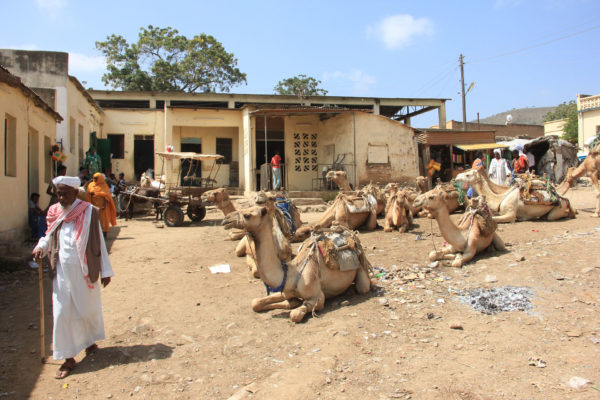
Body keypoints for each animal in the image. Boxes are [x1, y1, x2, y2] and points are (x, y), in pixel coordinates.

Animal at [221, 206, 370, 322]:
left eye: (247, 215)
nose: (226, 220)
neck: (291, 273)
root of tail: (351, 234)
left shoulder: (317, 297)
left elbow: (295, 314)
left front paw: (295, 305)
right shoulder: (285, 290)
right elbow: (256, 303)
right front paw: (293, 301)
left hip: (361, 270)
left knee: (363, 286)